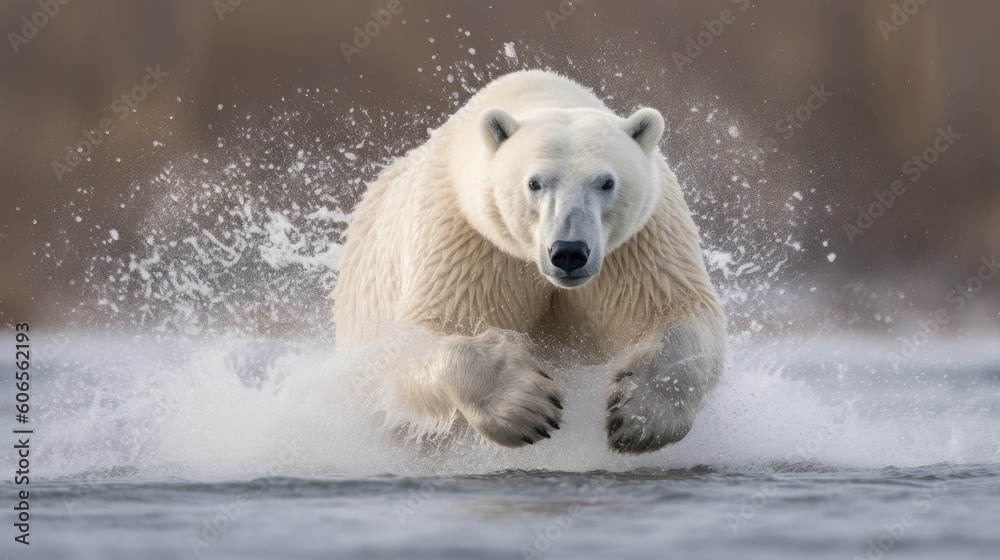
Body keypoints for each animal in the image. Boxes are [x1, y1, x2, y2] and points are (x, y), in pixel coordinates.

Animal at [333, 69, 725, 454]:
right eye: (535, 183)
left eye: (606, 182)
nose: (569, 252)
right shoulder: (466, 241)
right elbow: (418, 338)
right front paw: (526, 407)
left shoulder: (638, 243)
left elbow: (677, 311)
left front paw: (639, 417)